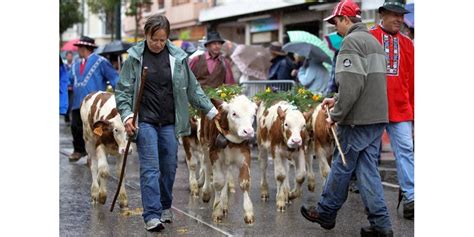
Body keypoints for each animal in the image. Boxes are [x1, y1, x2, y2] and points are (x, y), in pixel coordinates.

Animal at [200, 94, 260, 224]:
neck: (232, 141)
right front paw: (217, 212)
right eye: (234, 114)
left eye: (253, 115)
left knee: (226, 175)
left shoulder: (245, 156)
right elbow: (218, 182)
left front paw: (249, 213)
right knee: (207, 168)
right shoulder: (214, 155)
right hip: (204, 145)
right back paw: (206, 193)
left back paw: (225, 204)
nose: (248, 132)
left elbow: (244, 183)